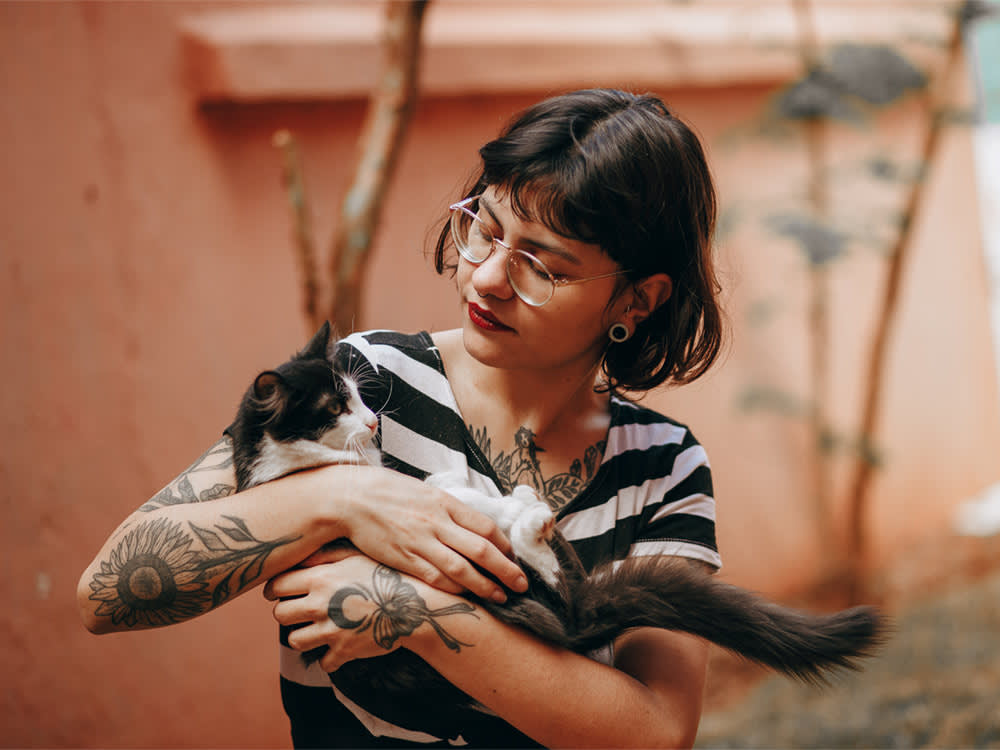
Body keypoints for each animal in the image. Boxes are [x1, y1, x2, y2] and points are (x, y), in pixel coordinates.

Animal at [230, 324, 888, 748]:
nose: (371, 421)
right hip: (507, 598)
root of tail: (584, 619)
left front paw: (458, 486)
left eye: (359, 394)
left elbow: (439, 485)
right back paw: (532, 520)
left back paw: (523, 504)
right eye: (335, 405)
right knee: (547, 588)